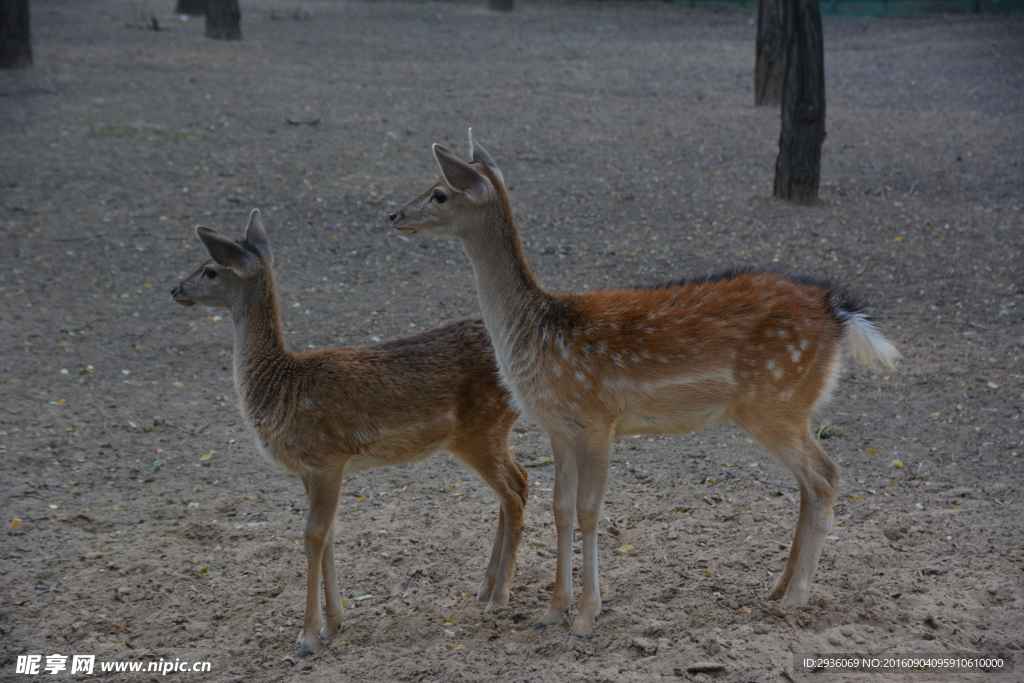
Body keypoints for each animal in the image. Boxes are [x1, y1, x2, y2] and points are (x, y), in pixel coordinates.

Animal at [169, 209, 528, 655]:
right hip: (484, 433)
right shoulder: (311, 469)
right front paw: (334, 623)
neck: (280, 388)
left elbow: (312, 536)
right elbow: (330, 535)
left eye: (210, 269)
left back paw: (499, 598)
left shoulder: (325, 457)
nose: (174, 289)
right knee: (516, 484)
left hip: (482, 428)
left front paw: (307, 636)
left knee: (514, 491)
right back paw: (485, 586)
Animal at [387, 135, 901, 643]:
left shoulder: (596, 418)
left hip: (776, 401)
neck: (535, 334)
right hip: (786, 407)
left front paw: (586, 617)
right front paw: (553, 611)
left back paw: (796, 599)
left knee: (826, 476)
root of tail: (840, 313)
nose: (393, 215)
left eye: (439, 192)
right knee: (807, 484)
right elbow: (560, 508)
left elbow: (590, 510)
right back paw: (776, 588)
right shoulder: (558, 426)